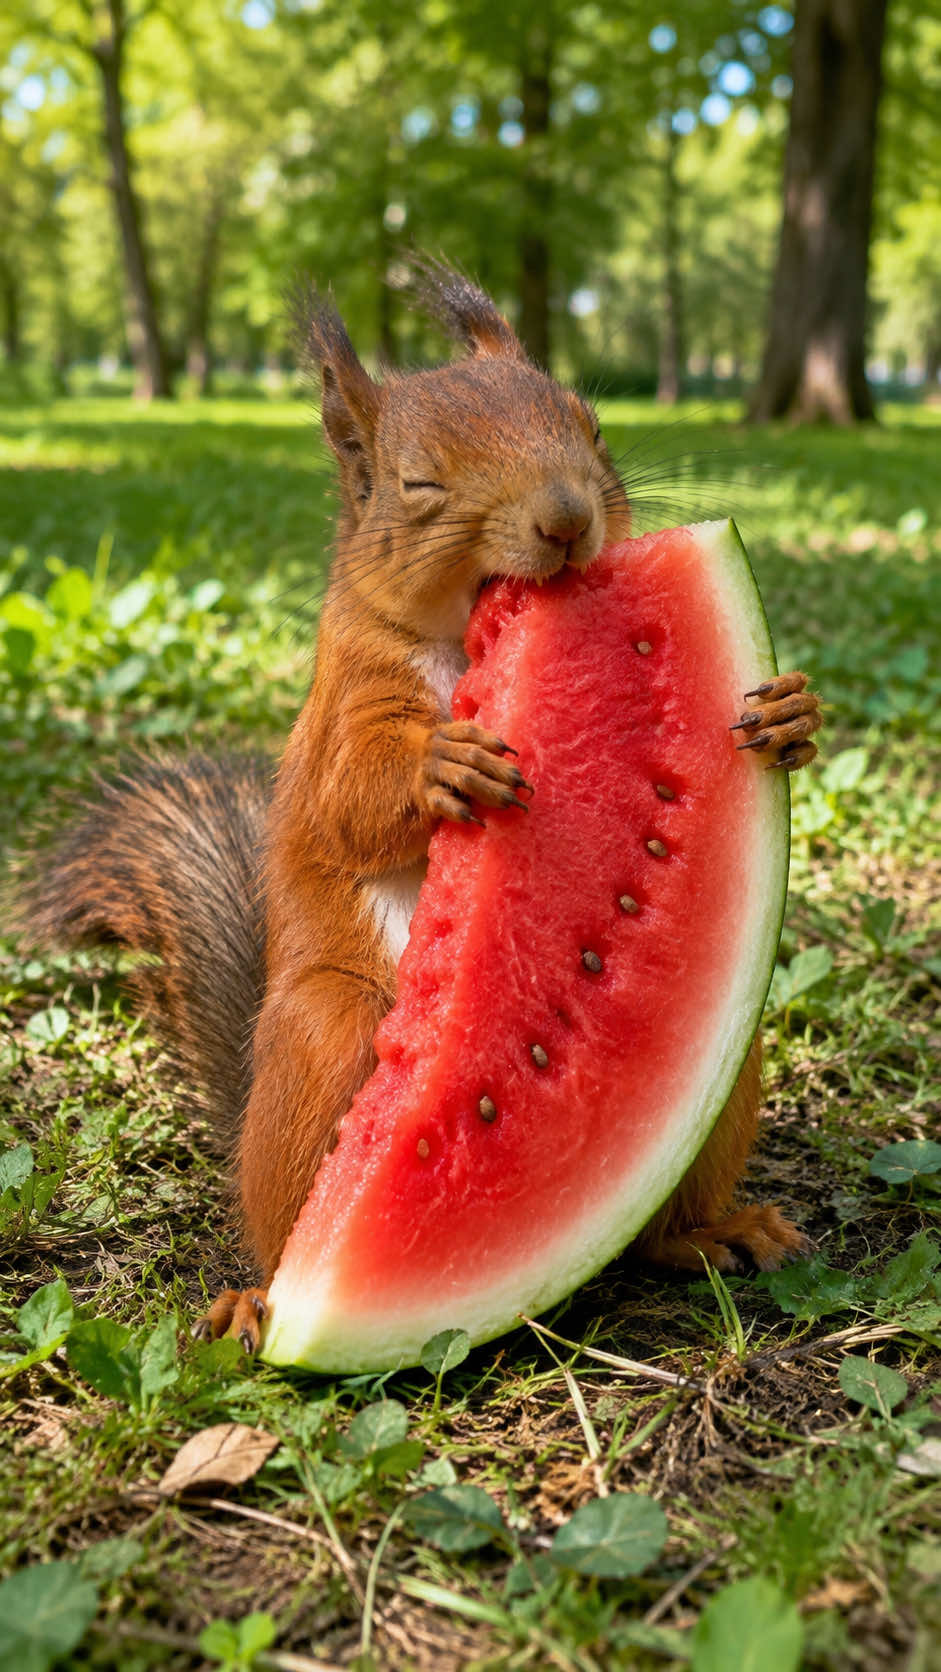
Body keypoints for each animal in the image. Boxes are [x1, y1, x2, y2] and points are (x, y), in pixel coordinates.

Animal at [23, 262, 823, 1353]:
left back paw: (712, 1232)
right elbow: (348, 802)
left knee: (660, 1221)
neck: (458, 636)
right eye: (419, 484)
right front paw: (439, 764)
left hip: (728, 1066)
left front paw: (789, 714)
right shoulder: (342, 708)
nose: (566, 520)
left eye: (592, 427)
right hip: (324, 1035)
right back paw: (261, 1295)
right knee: (287, 1216)